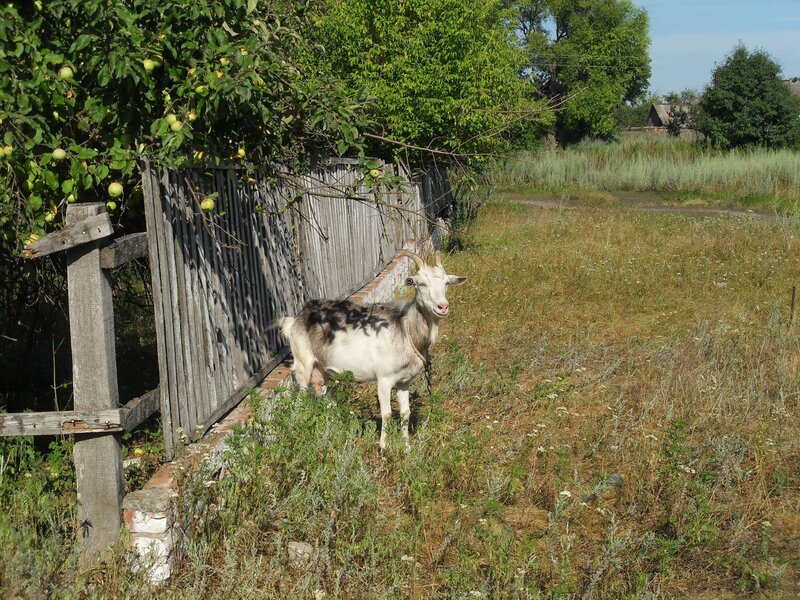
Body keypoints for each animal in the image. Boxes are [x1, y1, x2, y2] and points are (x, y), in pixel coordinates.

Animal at [278, 249, 466, 449]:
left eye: (446, 283)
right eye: (421, 283)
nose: (443, 307)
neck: (405, 329)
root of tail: (294, 321)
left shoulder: (404, 381)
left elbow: (405, 413)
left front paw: (406, 446)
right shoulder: (383, 379)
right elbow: (387, 413)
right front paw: (383, 446)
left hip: (324, 371)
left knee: (327, 400)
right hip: (303, 364)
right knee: (300, 399)